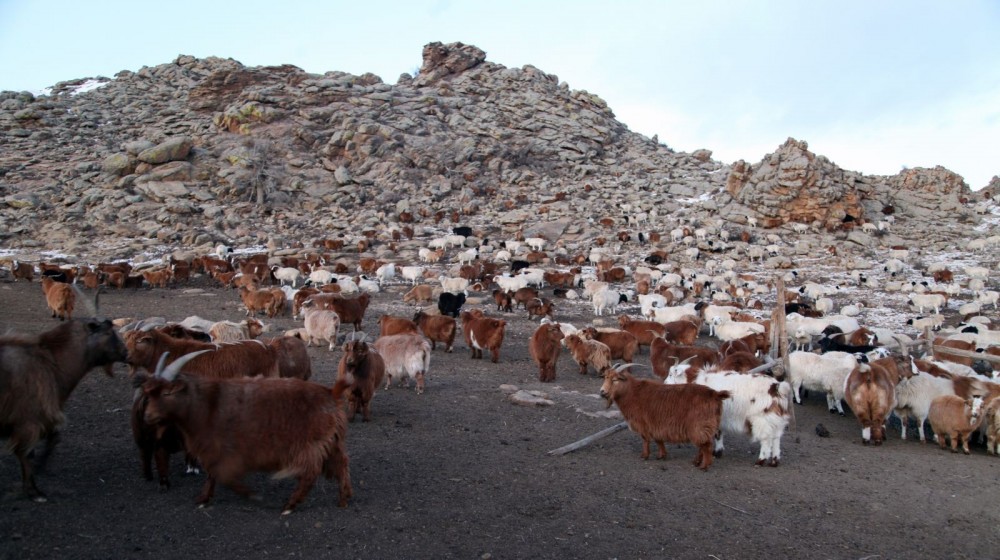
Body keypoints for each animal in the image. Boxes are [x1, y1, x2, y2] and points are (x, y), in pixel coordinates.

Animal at [141, 352, 352, 516]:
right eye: (149, 393)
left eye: (167, 393)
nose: (148, 416)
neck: (206, 404)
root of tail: (330, 393)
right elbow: (213, 475)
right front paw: (203, 498)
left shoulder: (224, 449)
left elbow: (223, 476)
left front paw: (253, 496)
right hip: (331, 441)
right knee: (341, 464)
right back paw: (343, 498)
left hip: (309, 444)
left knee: (311, 473)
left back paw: (290, 505)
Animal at [596, 364, 732, 468]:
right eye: (605, 377)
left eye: (615, 379)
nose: (602, 392)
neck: (632, 392)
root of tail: (715, 394)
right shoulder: (656, 424)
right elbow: (658, 440)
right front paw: (661, 455)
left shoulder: (643, 423)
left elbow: (645, 439)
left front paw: (644, 456)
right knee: (703, 445)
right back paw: (696, 462)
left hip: (699, 425)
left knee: (706, 445)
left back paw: (704, 466)